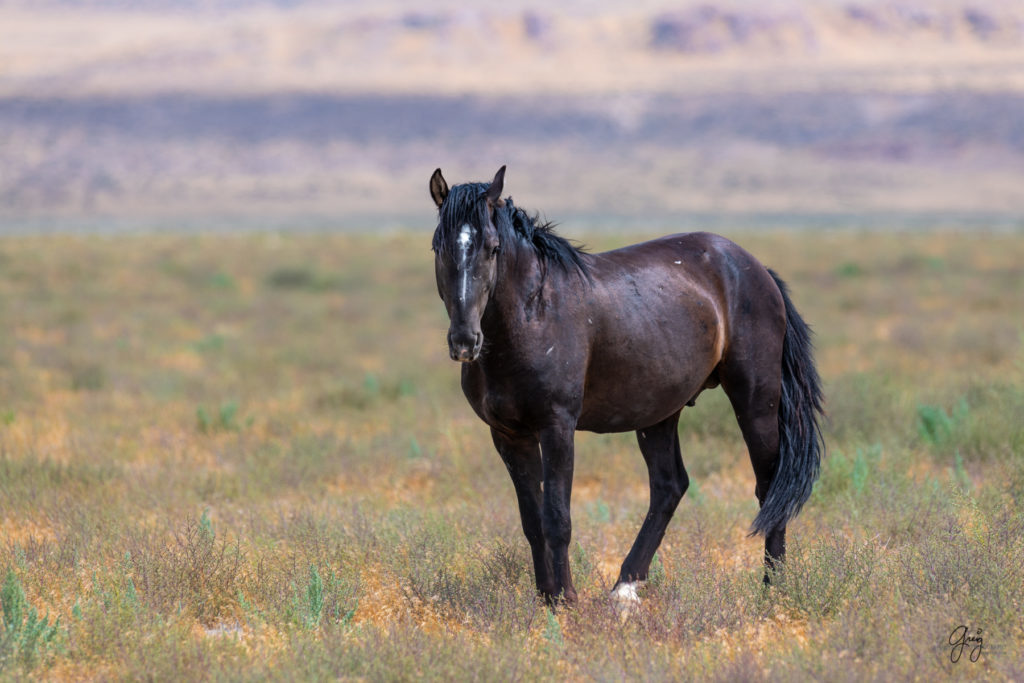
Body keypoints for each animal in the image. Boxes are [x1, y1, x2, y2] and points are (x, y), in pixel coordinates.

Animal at [430, 166, 823, 610]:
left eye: (494, 248)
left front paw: (566, 600)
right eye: (438, 247)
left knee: (769, 487)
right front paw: (547, 599)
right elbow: (531, 522)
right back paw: (625, 587)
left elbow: (557, 517)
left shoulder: (557, 427)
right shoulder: (509, 436)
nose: (465, 341)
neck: (534, 314)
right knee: (669, 487)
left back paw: (773, 590)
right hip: (659, 413)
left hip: (755, 400)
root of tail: (756, 269)